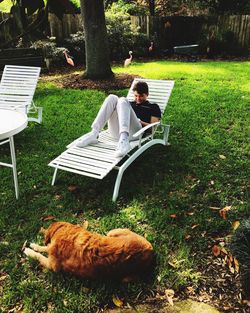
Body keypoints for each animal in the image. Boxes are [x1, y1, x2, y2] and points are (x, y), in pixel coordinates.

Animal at [24, 221, 154, 282]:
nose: (41, 230)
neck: (66, 236)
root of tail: (150, 249)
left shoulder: (52, 265)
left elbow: (39, 256)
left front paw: (28, 250)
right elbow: (45, 248)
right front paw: (34, 245)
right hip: (111, 233)